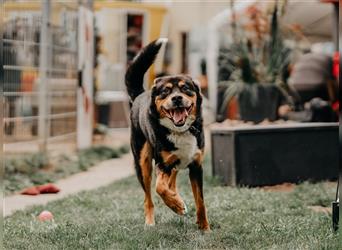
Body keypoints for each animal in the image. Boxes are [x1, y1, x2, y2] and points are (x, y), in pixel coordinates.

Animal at [125, 38, 208, 229]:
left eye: (185, 88)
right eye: (165, 91)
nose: (176, 98)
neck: (180, 131)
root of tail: (140, 95)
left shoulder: (196, 166)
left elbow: (200, 202)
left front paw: (204, 227)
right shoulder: (162, 164)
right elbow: (159, 188)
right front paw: (176, 205)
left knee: (172, 180)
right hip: (143, 163)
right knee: (148, 197)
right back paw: (151, 221)